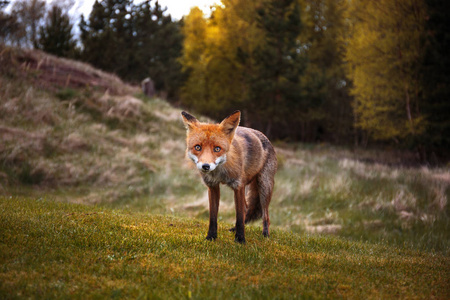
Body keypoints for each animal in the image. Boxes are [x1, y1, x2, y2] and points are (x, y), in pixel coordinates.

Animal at [181, 110, 276, 244]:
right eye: (198, 147)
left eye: (217, 149)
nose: (206, 166)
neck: (220, 172)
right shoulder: (212, 186)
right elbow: (213, 217)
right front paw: (211, 237)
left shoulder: (238, 186)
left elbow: (239, 217)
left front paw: (240, 239)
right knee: (247, 209)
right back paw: (234, 229)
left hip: (264, 187)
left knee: (265, 216)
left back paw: (265, 235)